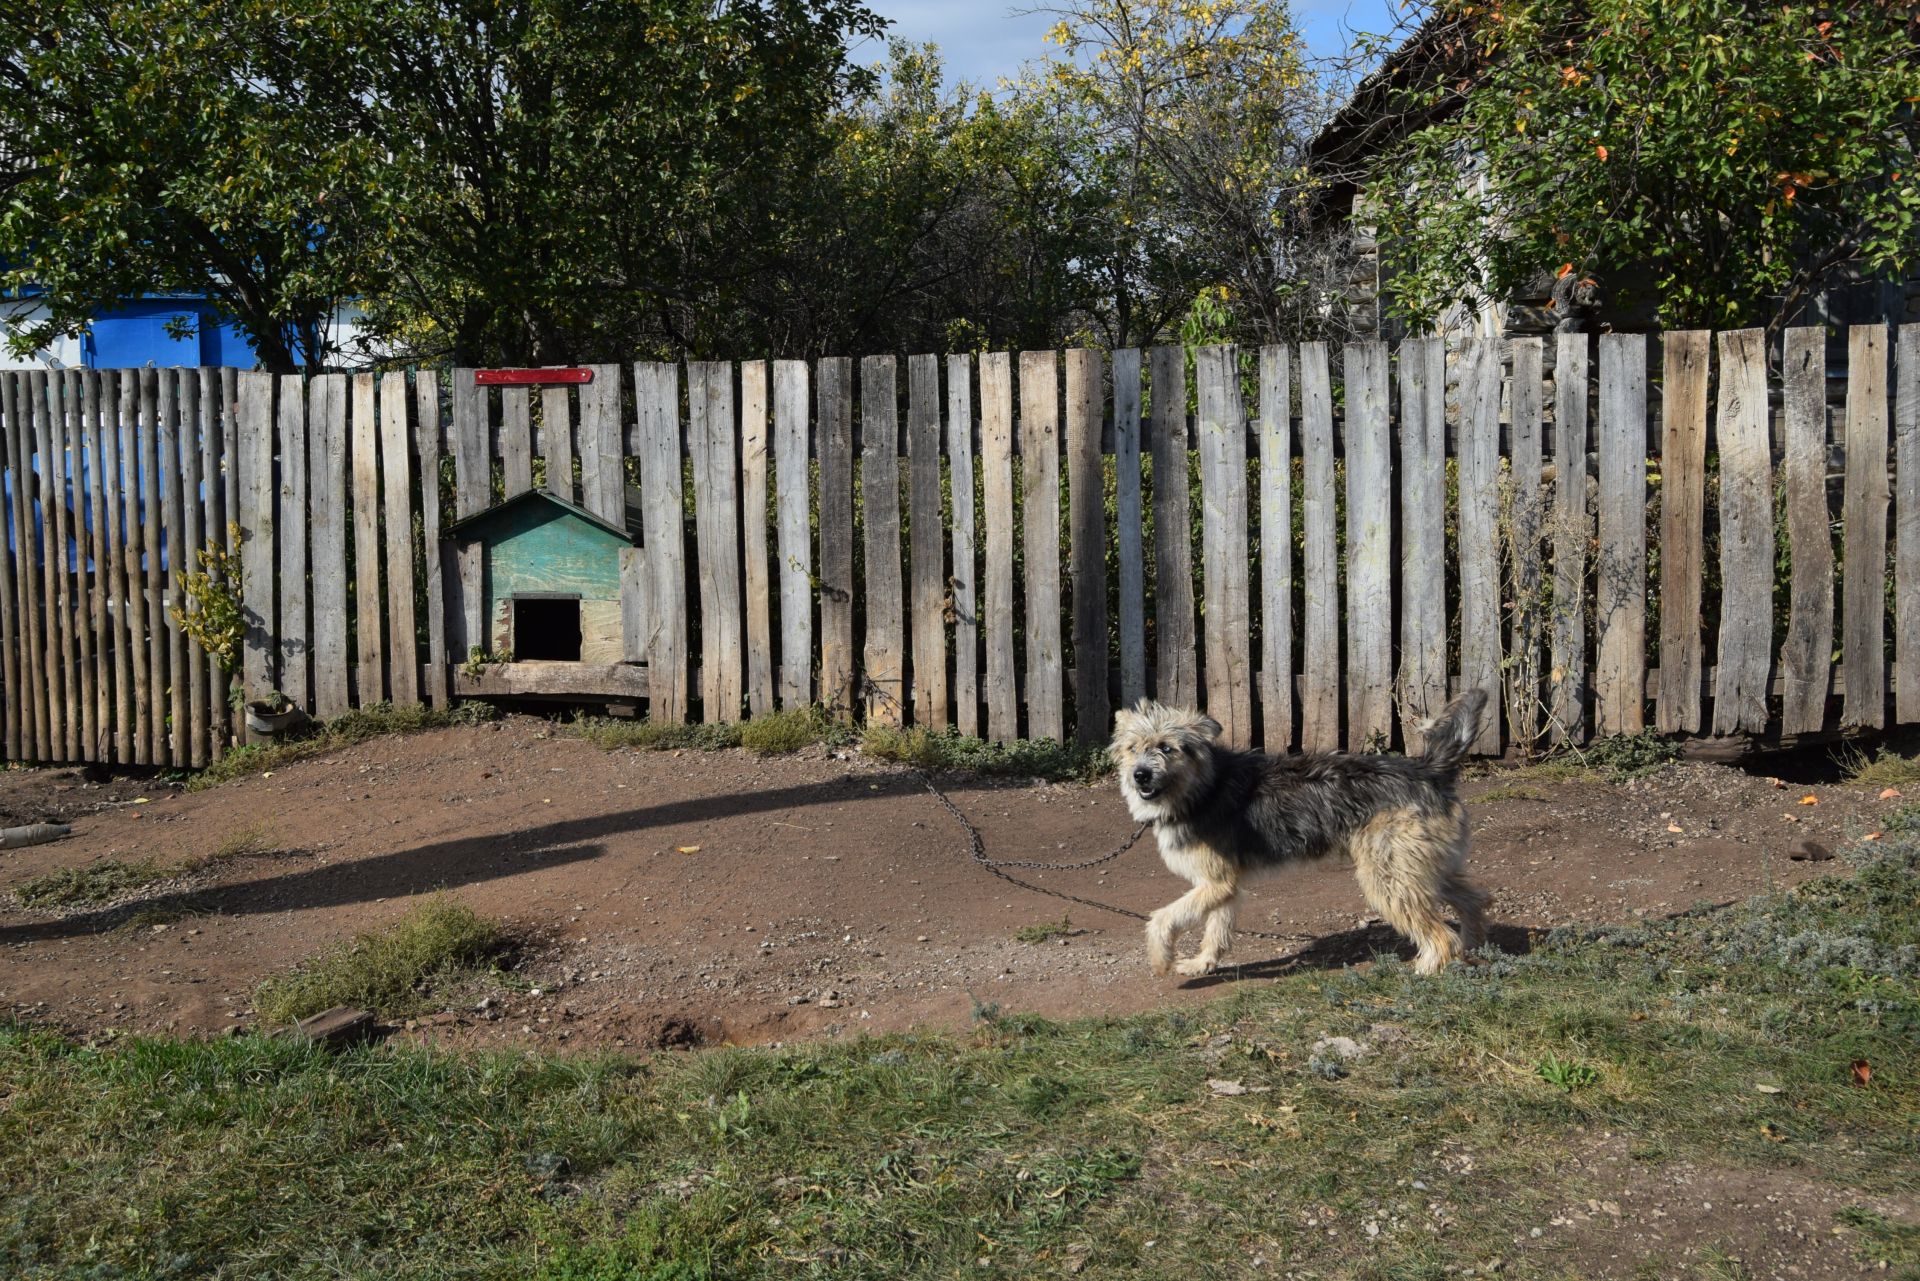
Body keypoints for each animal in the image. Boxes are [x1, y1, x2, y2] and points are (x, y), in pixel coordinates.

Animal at [1105, 691, 1489, 983]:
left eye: (1167, 747)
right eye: (1132, 748)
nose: (1140, 775)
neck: (1203, 787)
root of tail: (1429, 769)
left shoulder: (1215, 882)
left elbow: (1163, 917)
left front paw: (1161, 957)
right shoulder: (1222, 885)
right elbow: (1216, 928)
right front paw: (1203, 963)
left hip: (1389, 877)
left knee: (1441, 933)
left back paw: (1427, 968)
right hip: (1422, 868)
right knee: (1474, 900)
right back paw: (1473, 945)